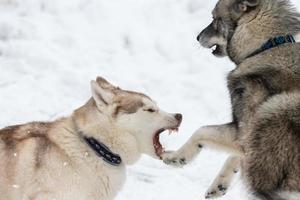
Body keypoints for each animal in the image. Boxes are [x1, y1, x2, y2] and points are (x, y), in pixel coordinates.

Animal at [162, 0, 300, 199]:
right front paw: (219, 185)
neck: (267, 46)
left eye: (214, 18)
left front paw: (177, 157)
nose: (197, 37)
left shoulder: (245, 130)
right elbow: (234, 156)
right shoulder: (244, 139)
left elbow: (201, 131)